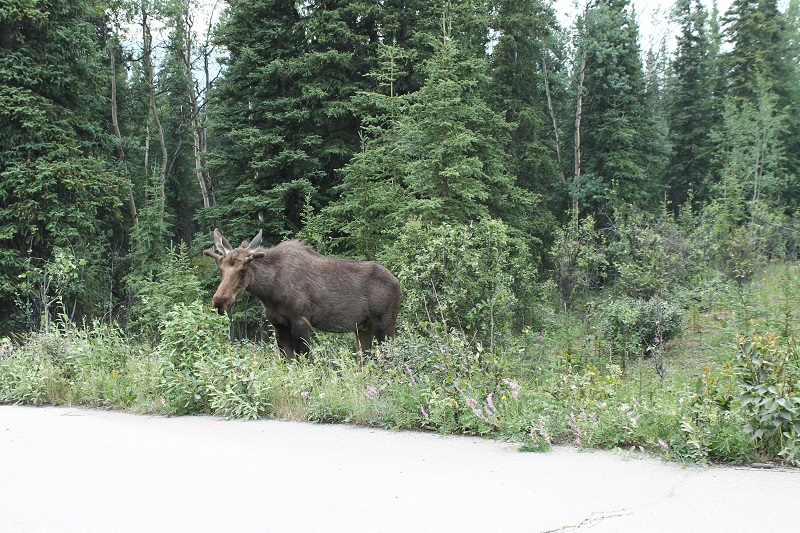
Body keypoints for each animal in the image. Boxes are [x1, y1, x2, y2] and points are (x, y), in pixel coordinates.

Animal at [205, 229, 400, 358]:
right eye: (221, 268)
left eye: (243, 270)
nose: (219, 302)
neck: (269, 292)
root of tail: (398, 284)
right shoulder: (279, 325)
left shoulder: (301, 320)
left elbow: (304, 360)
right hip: (364, 327)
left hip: (385, 323)